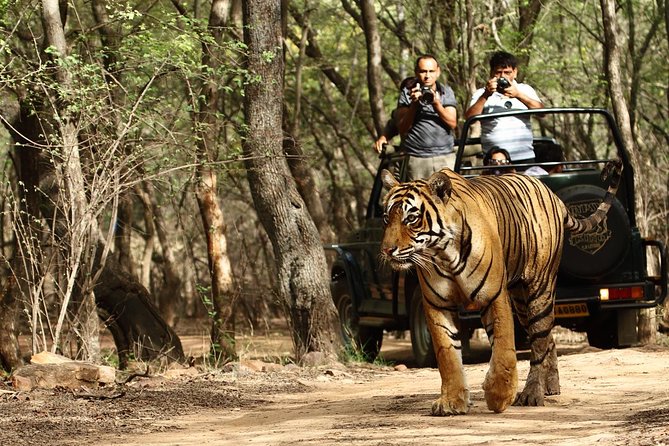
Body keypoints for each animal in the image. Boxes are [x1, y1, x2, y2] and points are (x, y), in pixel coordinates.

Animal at [380, 160, 622, 415]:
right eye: (386, 218)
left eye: (411, 219)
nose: (387, 250)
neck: (443, 253)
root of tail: (553, 195)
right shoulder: (437, 305)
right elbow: (447, 355)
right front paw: (451, 401)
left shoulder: (493, 296)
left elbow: (504, 348)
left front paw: (499, 396)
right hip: (521, 302)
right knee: (547, 338)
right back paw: (551, 386)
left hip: (540, 289)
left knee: (539, 342)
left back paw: (532, 394)